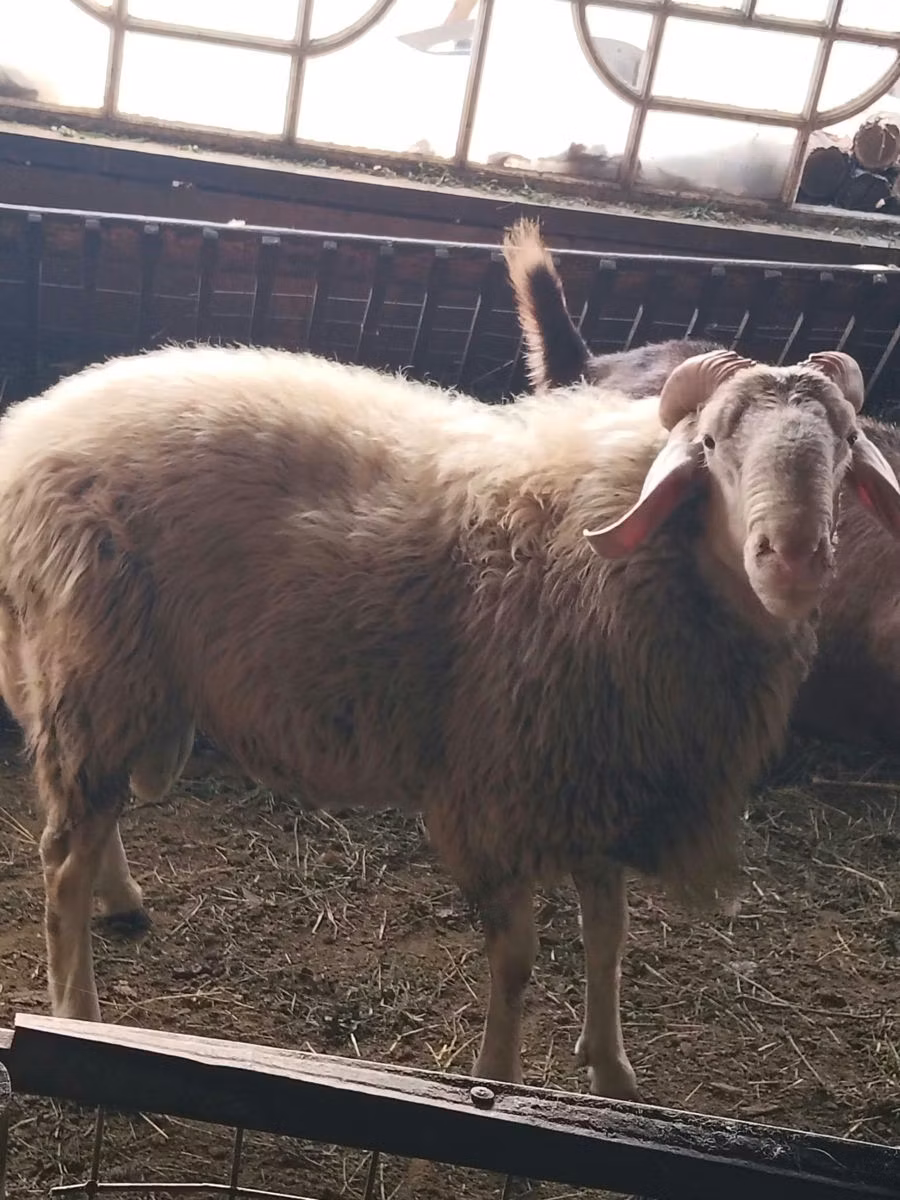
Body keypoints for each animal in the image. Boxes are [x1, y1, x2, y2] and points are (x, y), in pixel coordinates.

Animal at [0, 341, 898, 1104]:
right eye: (710, 444)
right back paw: (78, 1015)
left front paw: (610, 1072)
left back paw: (121, 899)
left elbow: (608, 935)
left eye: (848, 443)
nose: (796, 559)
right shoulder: (500, 792)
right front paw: (497, 1081)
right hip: (95, 668)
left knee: (97, 820)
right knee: (62, 861)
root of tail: (33, 428)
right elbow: (518, 961)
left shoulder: (593, 777)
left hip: (119, 681)